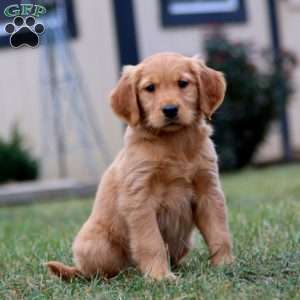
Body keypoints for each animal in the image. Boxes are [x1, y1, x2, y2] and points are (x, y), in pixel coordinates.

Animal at [47, 52, 234, 282]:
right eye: (150, 88)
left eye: (183, 83)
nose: (170, 110)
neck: (174, 143)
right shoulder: (139, 199)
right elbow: (151, 242)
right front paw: (160, 276)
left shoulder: (208, 191)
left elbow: (219, 233)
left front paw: (225, 265)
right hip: (96, 245)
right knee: (103, 272)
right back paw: (128, 274)